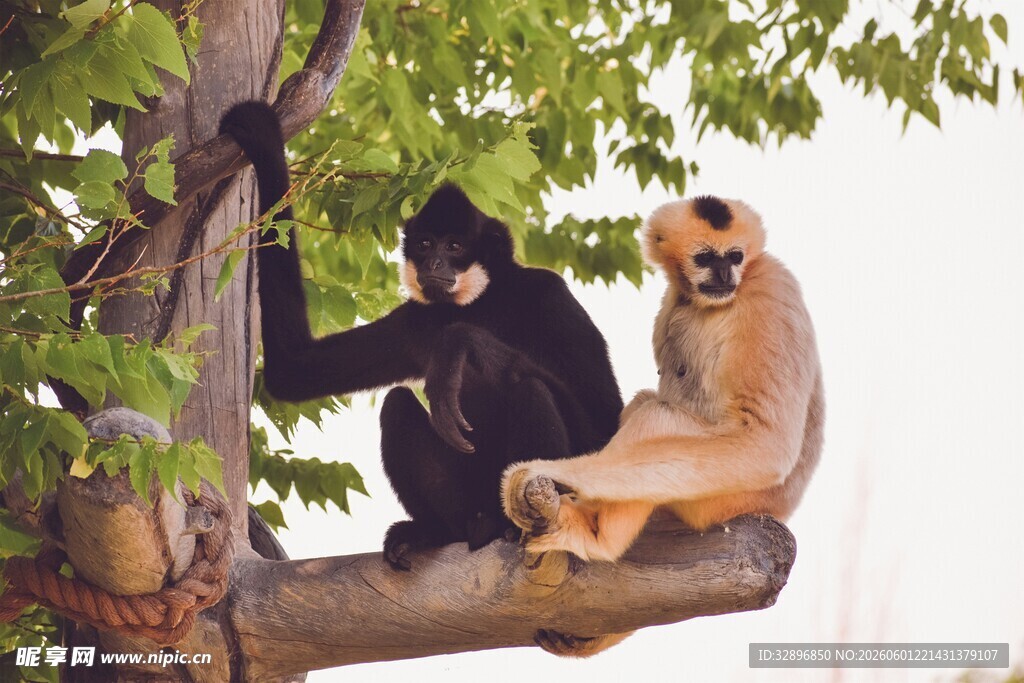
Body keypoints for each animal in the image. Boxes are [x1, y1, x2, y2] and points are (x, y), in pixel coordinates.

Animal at [219, 101, 623, 570]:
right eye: (426, 243)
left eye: (454, 246)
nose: (433, 264)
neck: (480, 302)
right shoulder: (415, 320)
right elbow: (294, 370)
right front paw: (265, 145)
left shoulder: (551, 295)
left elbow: (604, 428)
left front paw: (460, 344)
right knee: (396, 403)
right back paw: (441, 531)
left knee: (530, 389)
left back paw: (514, 527)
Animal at [500, 195, 823, 656]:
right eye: (705, 258)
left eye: (735, 257)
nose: (724, 275)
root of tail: (782, 509)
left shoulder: (770, 289)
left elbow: (767, 441)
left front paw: (550, 472)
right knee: (645, 407)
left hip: (732, 495)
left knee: (656, 415)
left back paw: (597, 538)